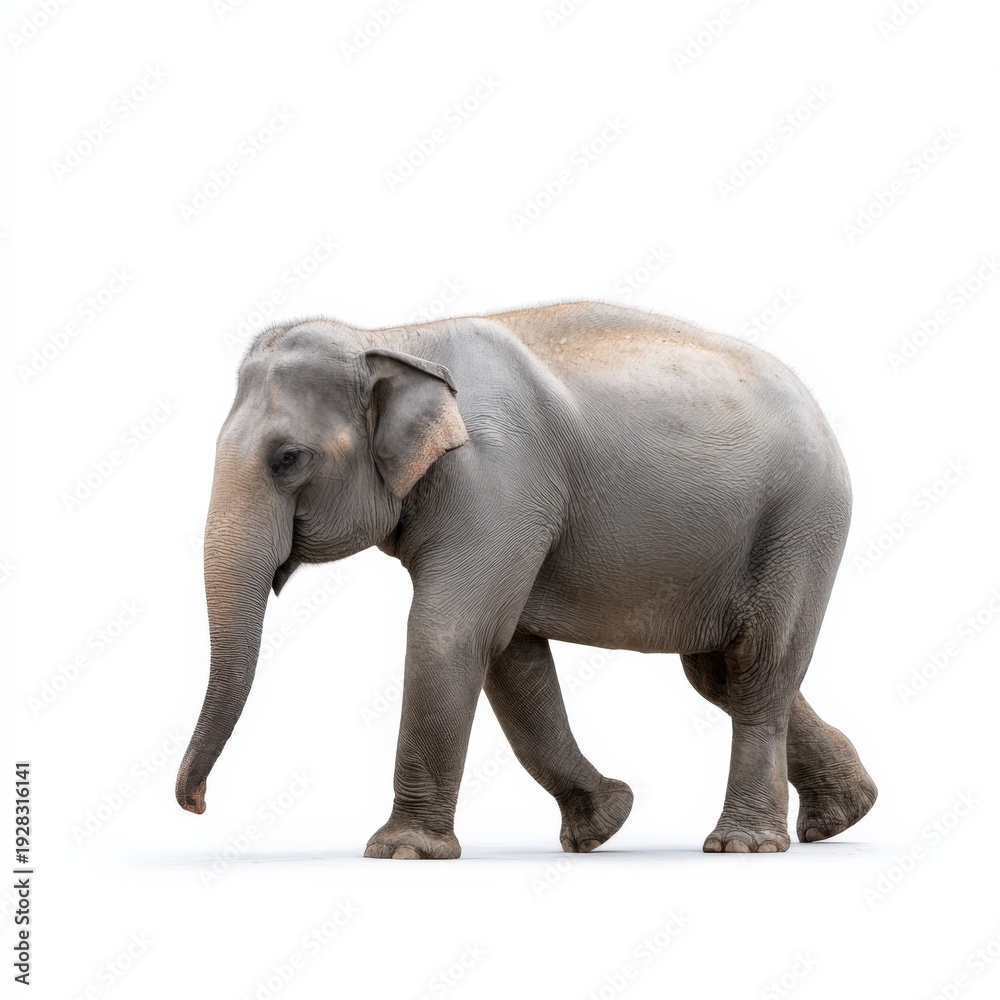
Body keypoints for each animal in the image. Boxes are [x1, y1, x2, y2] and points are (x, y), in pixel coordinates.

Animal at [176, 300, 877, 859]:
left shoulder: (497, 482)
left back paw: (743, 844)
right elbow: (511, 654)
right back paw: (845, 815)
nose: (198, 804)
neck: (394, 337)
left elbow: (450, 635)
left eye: (288, 459)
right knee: (718, 673)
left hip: (801, 524)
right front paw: (603, 824)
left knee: (757, 666)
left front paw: (402, 852)